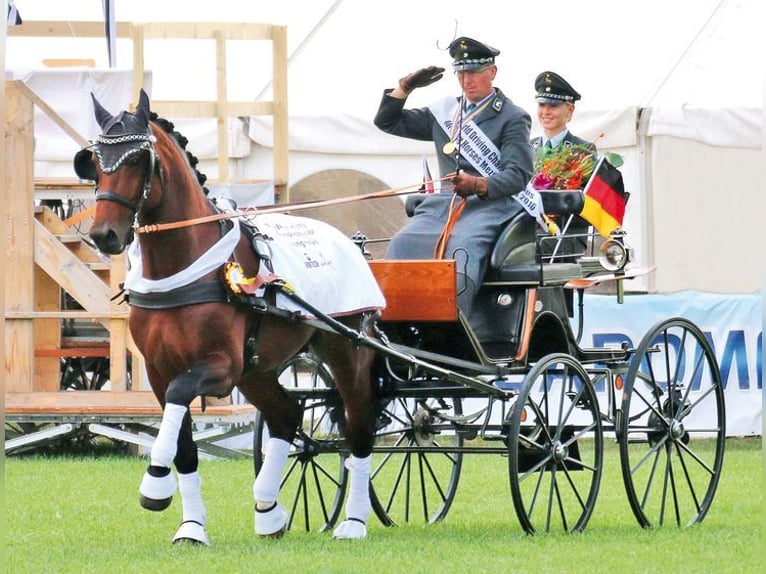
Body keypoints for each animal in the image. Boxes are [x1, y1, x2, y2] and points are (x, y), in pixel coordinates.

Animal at [74, 90, 380, 544]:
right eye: (94, 162)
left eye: (138, 159)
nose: (104, 235)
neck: (186, 264)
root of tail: (351, 240)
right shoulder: (161, 371)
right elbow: (184, 446)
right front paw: (191, 526)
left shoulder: (219, 367)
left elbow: (182, 396)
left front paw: (154, 482)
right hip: (258, 370)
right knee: (285, 415)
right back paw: (268, 509)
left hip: (345, 351)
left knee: (359, 426)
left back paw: (354, 521)